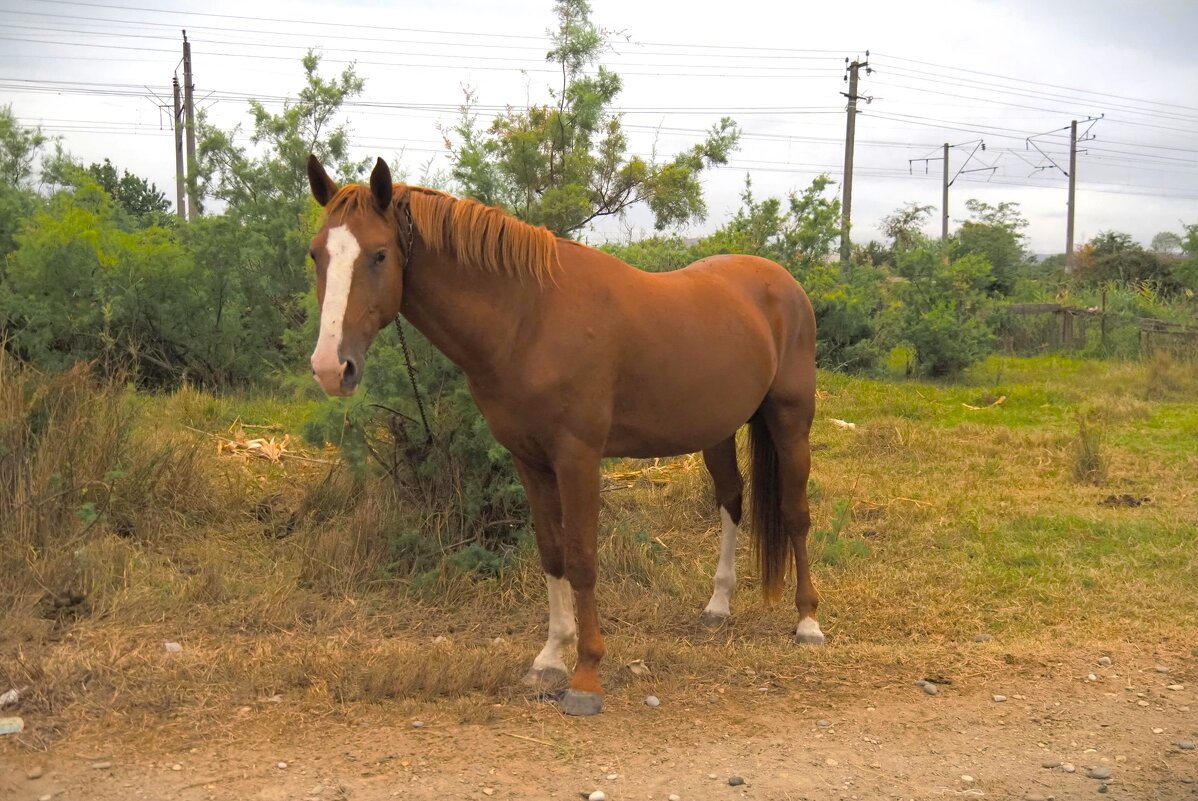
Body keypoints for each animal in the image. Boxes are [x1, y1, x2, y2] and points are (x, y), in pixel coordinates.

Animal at [306, 155, 824, 718]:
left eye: (379, 255)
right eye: (316, 254)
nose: (332, 367)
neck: (528, 317)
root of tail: (783, 282)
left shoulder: (577, 457)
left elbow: (581, 558)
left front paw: (586, 674)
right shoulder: (529, 460)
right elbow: (552, 552)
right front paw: (550, 658)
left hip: (791, 420)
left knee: (795, 514)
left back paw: (807, 622)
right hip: (717, 429)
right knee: (731, 500)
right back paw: (717, 607)